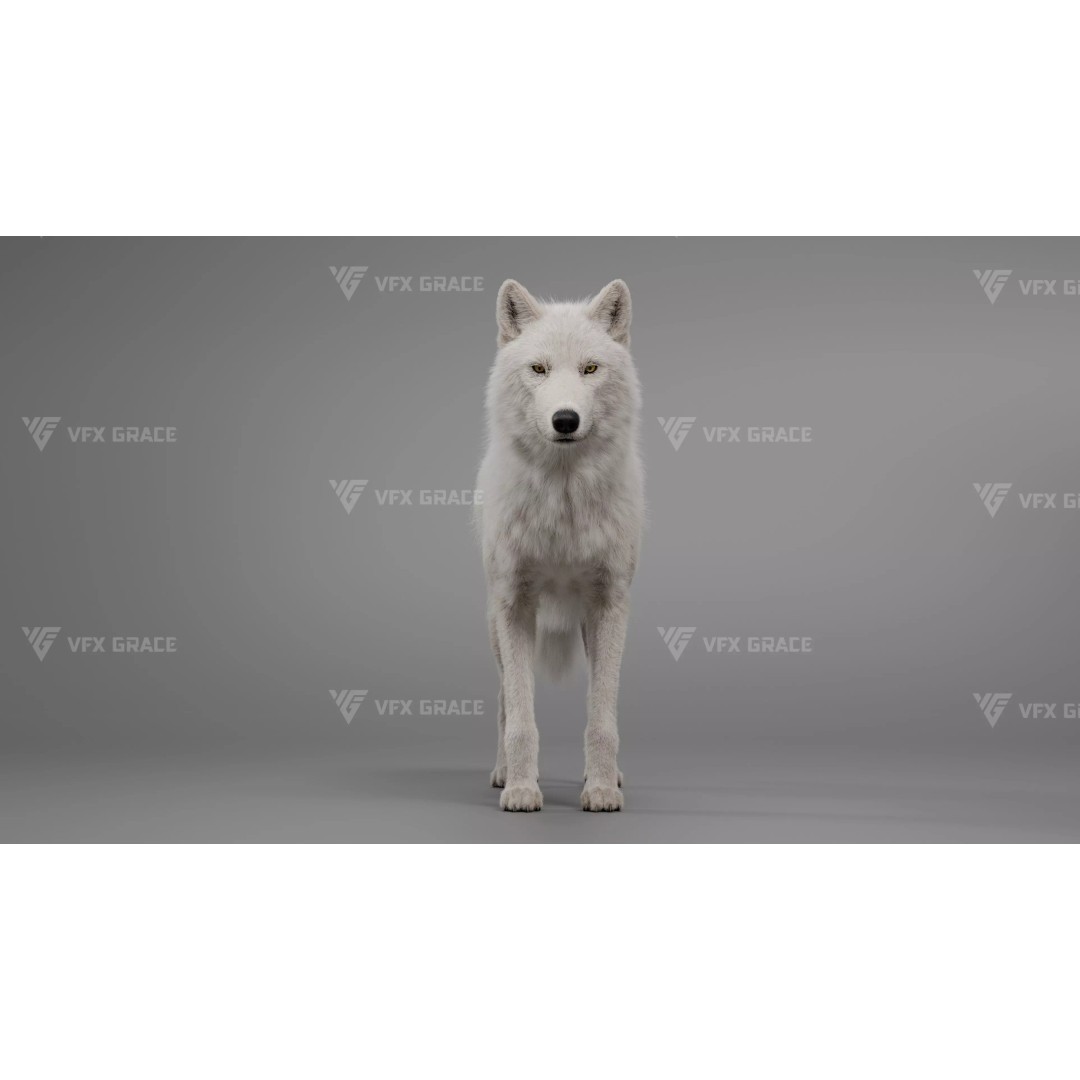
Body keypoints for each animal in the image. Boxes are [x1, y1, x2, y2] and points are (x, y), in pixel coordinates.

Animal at [475, 279, 645, 811]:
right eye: (539, 369)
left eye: (590, 369)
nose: (565, 420)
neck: (563, 502)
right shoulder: (515, 606)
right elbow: (521, 719)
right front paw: (522, 790)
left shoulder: (609, 605)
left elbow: (602, 717)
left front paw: (602, 788)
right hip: (496, 630)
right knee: (504, 702)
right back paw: (502, 774)